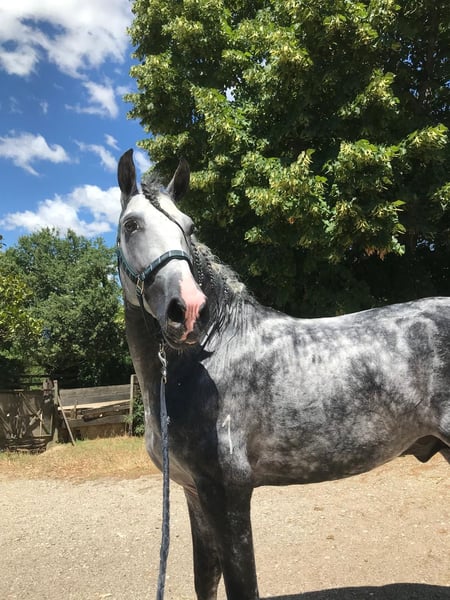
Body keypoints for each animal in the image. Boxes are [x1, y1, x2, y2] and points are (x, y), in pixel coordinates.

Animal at [116, 149, 449, 600]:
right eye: (131, 225)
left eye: (189, 227)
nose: (187, 310)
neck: (209, 356)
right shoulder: (192, 491)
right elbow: (206, 579)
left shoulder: (229, 494)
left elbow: (242, 584)